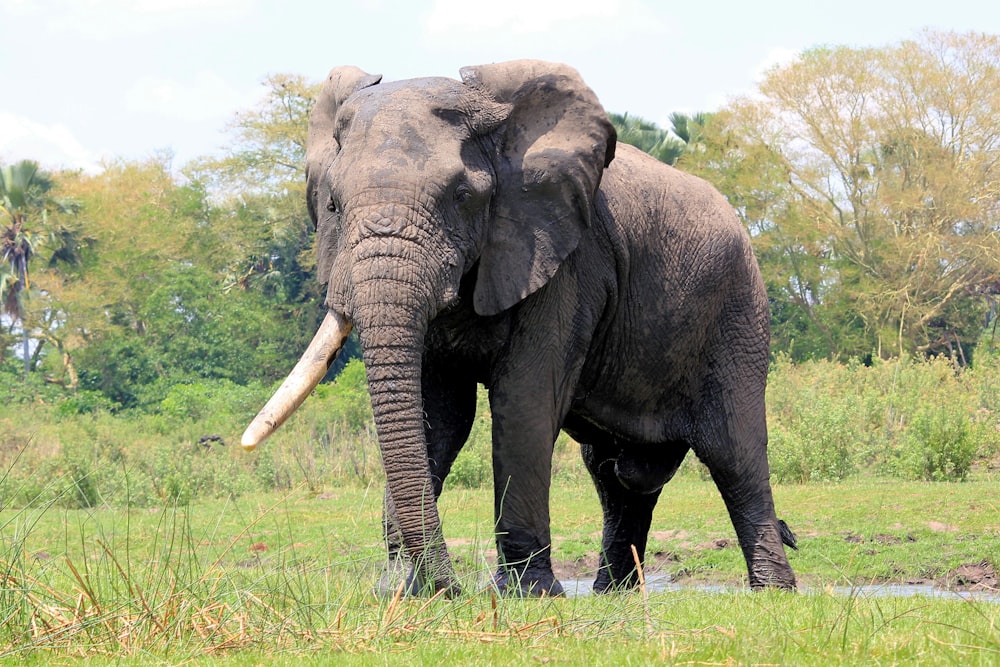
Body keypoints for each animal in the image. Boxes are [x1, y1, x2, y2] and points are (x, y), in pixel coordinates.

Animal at [242, 60, 796, 596]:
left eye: (461, 195)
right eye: (333, 205)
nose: (451, 588)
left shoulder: (564, 258)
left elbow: (524, 401)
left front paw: (526, 593)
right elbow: (438, 411)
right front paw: (400, 590)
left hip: (738, 311)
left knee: (733, 454)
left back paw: (772, 591)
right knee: (615, 475)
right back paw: (613, 595)